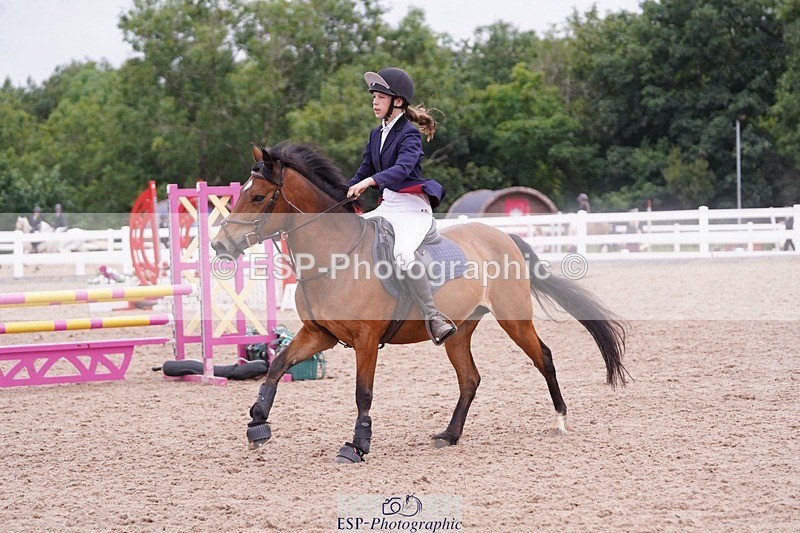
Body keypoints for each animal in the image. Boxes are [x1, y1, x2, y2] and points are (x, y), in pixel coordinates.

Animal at [211, 142, 627, 463]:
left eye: (258, 197)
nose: (219, 245)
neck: (335, 257)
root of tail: (503, 236)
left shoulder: (365, 340)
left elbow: (363, 393)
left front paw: (357, 446)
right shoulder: (319, 334)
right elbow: (277, 364)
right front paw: (257, 422)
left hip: (514, 319)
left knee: (544, 357)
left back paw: (560, 419)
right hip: (460, 330)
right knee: (470, 378)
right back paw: (450, 434)